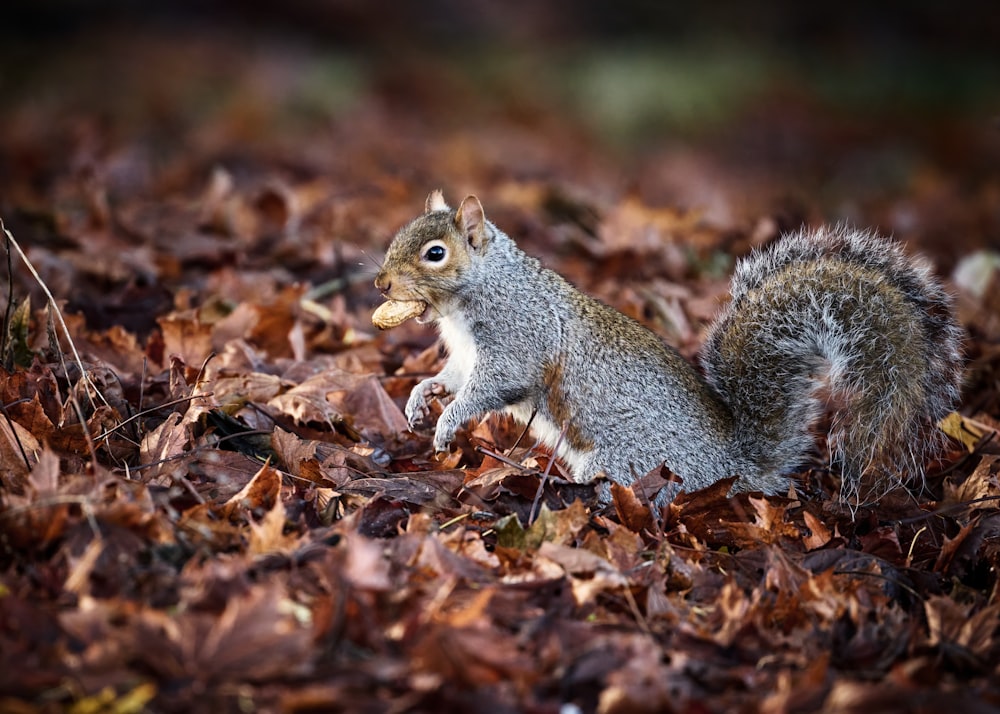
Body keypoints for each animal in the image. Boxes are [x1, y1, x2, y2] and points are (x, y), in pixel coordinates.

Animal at [372, 192, 964, 504]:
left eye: (435, 253)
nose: (380, 283)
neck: (471, 297)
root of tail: (733, 468)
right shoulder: (464, 355)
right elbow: (450, 378)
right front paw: (422, 398)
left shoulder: (517, 338)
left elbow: (491, 387)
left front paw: (449, 422)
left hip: (627, 459)